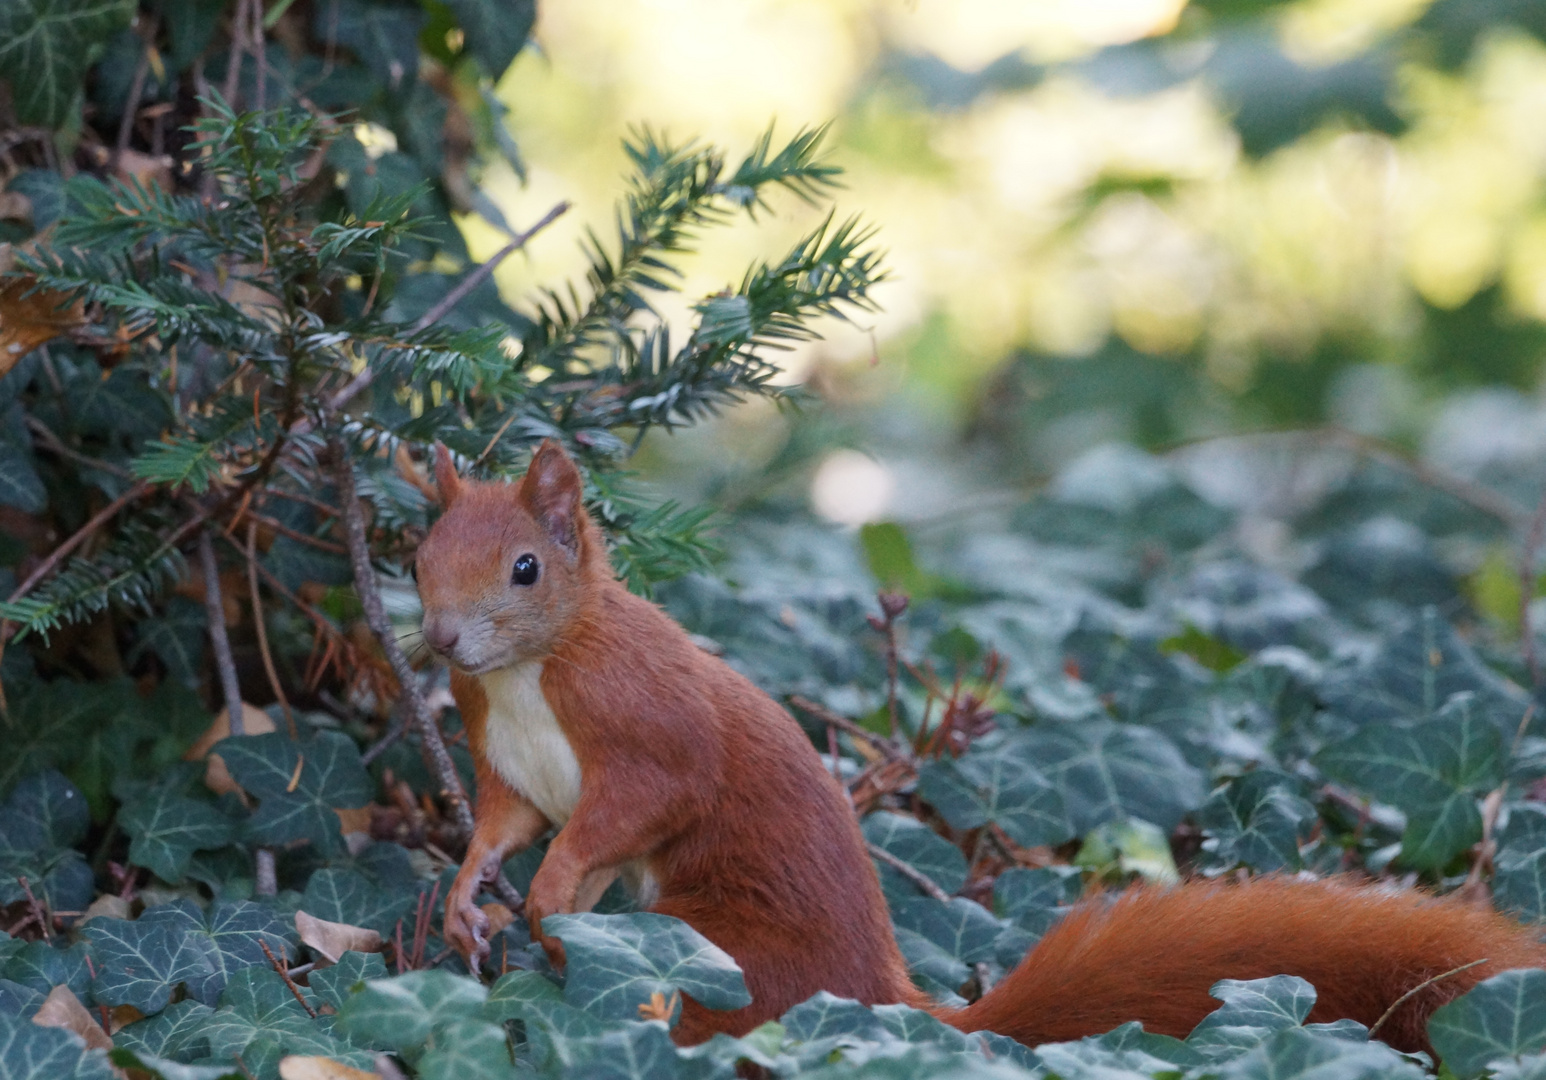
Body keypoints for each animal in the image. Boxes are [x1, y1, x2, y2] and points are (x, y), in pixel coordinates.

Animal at [414, 438, 1546, 1050]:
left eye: (524, 568)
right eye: (418, 555)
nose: (438, 640)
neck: (529, 672)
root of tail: (888, 1010)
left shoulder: (647, 727)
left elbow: (638, 804)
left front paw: (547, 890)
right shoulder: (503, 758)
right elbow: (505, 822)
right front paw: (474, 894)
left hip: (721, 952)